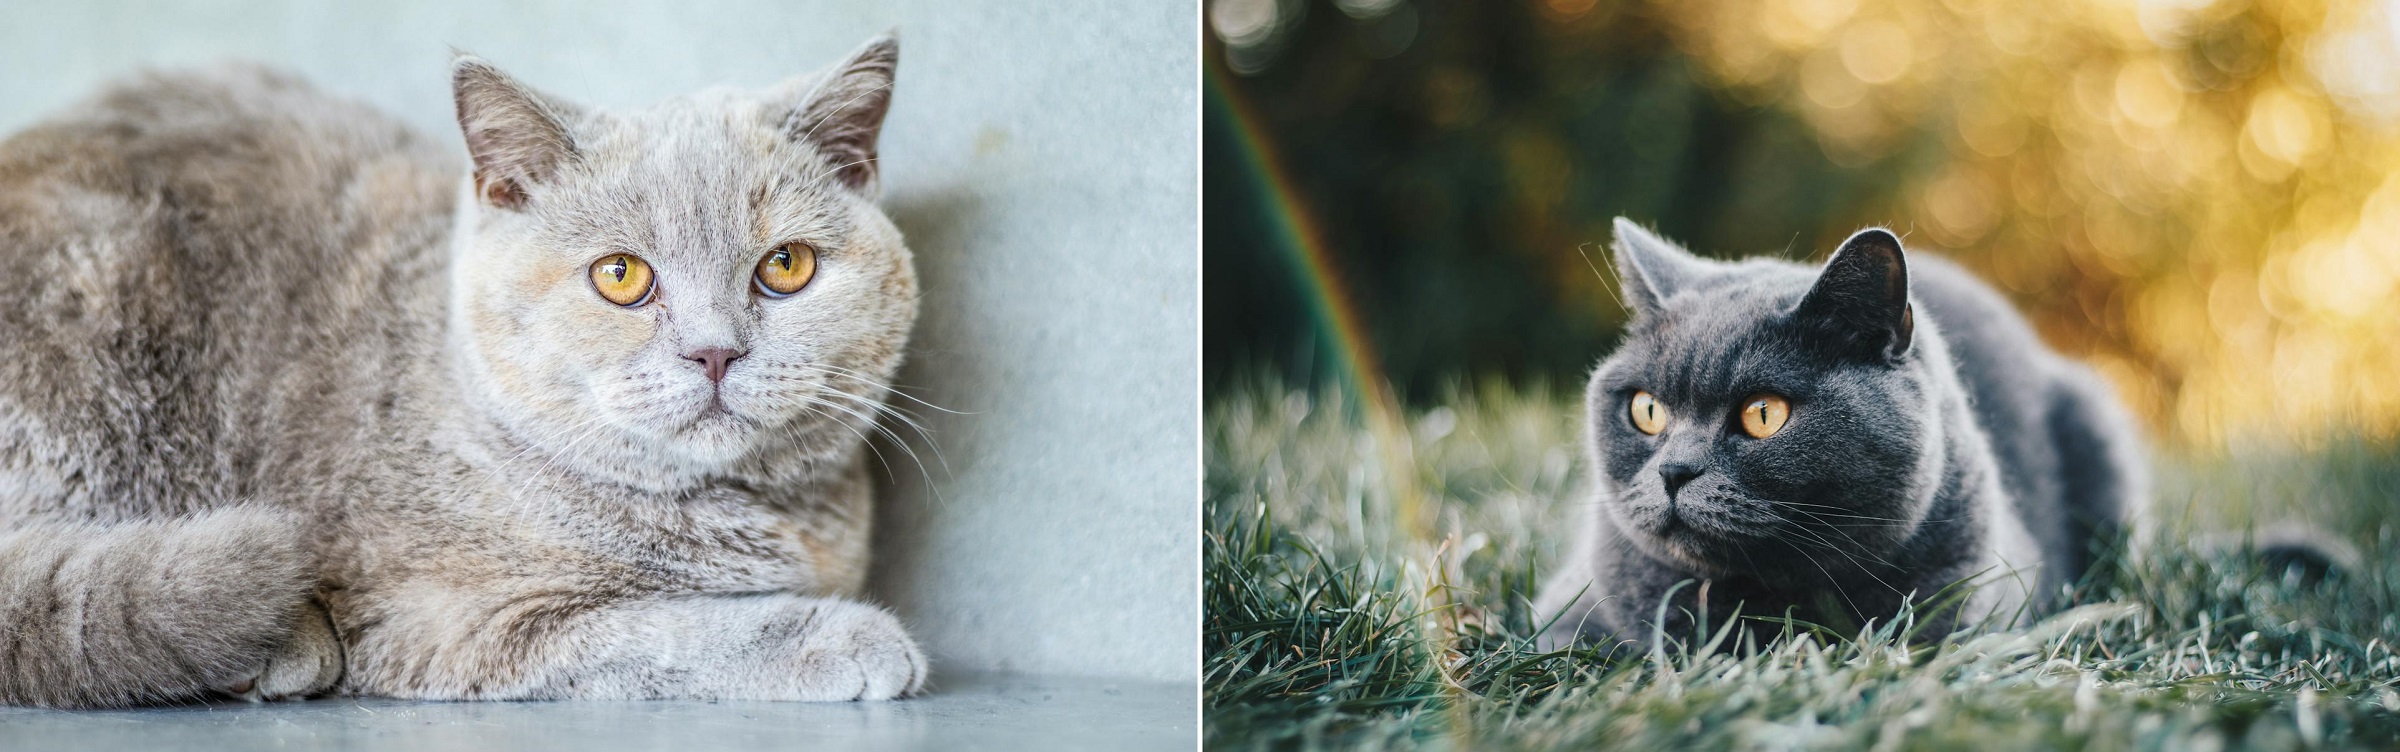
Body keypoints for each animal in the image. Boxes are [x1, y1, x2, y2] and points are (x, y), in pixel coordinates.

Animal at [0, 33, 926, 701]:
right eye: (620, 276)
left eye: (787, 267)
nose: (715, 350)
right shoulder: (449, 619)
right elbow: (667, 629)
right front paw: (845, 635)